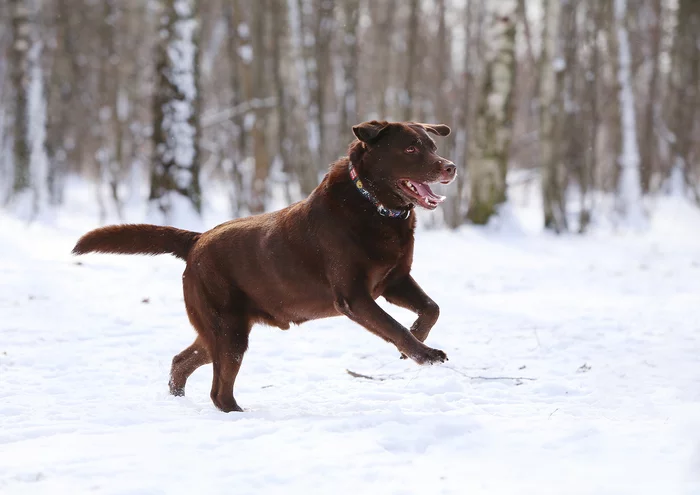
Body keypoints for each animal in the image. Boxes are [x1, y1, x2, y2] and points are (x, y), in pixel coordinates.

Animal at [75, 120, 460, 410]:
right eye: (410, 149)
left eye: (432, 145)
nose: (450, 167)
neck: (373, 206)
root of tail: (196, 240)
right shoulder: (354, 297)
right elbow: (394, 327)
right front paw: (424, 354)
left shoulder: (395, 280)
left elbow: (432, 309)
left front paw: (416, 341)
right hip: (228, 331)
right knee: (219, 391)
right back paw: (236, 413)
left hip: (219, 330)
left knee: (182, 360)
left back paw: (179, 399)